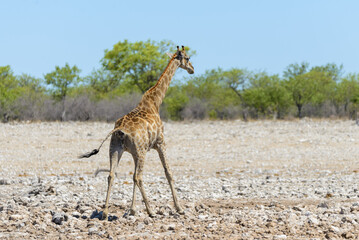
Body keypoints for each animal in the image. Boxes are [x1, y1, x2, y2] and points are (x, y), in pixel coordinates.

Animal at [80, 46, 195, 220]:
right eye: (187, 58)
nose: (192, 69)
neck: (155, 102)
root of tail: (119, 129)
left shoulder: (135, 152)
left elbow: (132, 177)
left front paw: (132, 209)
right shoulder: (160, 142)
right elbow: (168, 172)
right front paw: (179, 208)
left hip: (115, 149)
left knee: (112, 175)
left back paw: (105, 212)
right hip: (140, 151)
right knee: (138, 177)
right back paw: (151, 211)